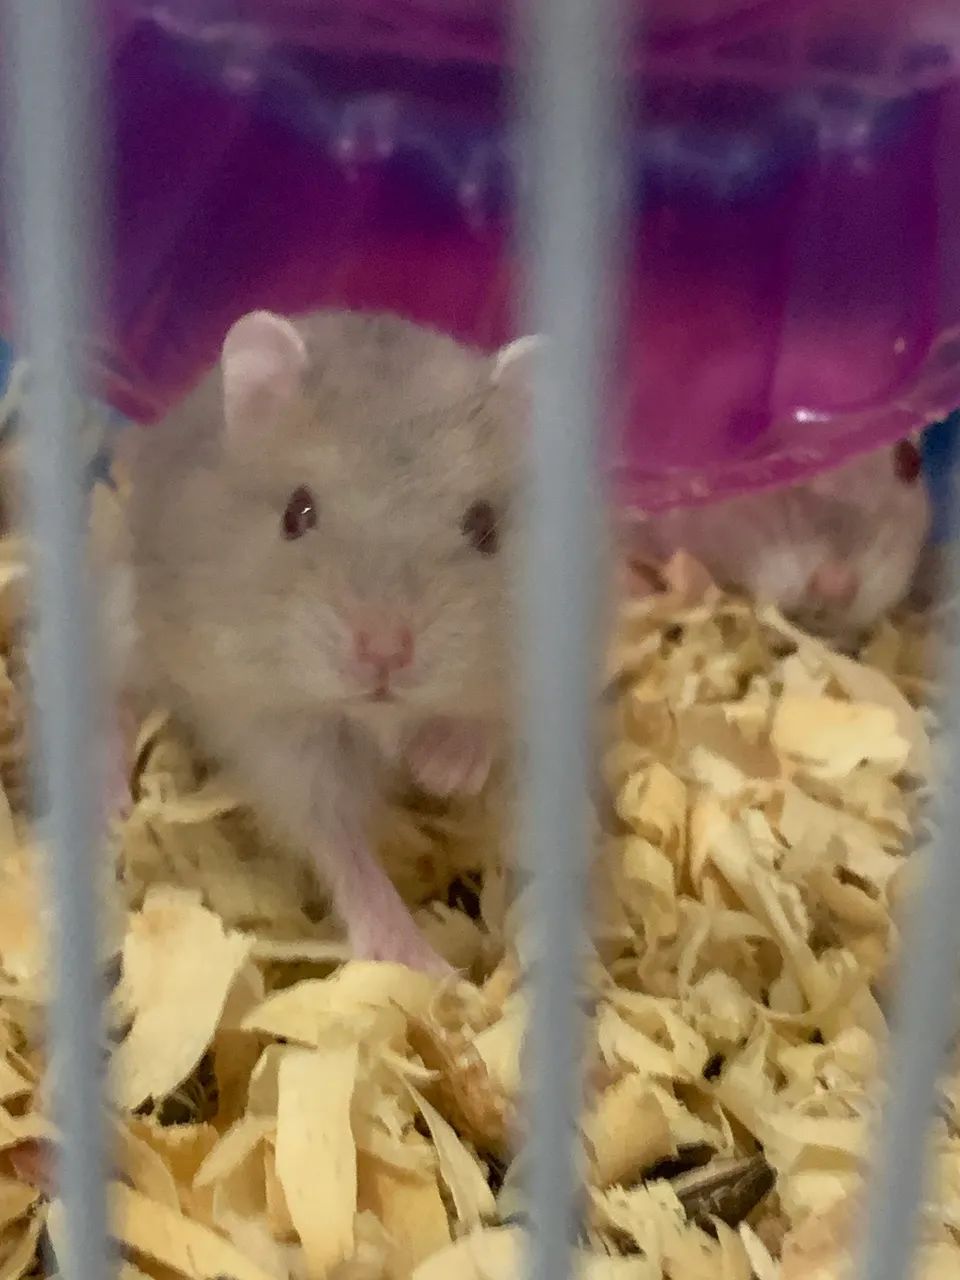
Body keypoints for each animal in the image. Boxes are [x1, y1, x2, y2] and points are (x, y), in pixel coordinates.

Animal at [116, 310, 539, 973]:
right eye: (298, 513)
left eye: (485, 527)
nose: (384, 653)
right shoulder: (279, 738)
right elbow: (339, 841)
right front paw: (423, 966)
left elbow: (487, 717)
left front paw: (442, 772)